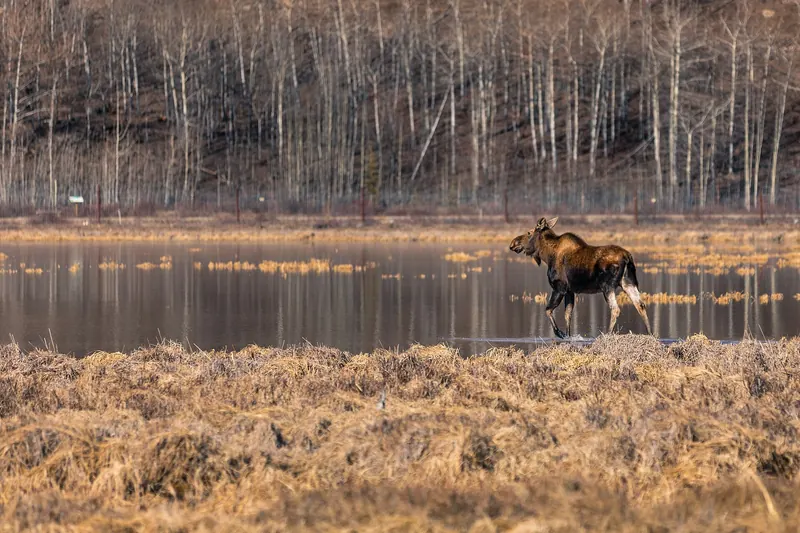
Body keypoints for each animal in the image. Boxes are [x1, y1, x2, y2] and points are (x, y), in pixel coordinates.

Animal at [509, 217, 652, 339]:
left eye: (529, 232)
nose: (513, 243)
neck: (547, 256)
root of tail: (627, 257)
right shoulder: (570, 291)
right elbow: (568, 315)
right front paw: (568, 336)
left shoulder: (559, 287)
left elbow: (548, 310)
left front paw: (560, 333)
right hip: (628, 283)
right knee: (640, 304)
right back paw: (650, 334)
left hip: (607, 286)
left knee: (616, 309)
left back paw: (606, 335)